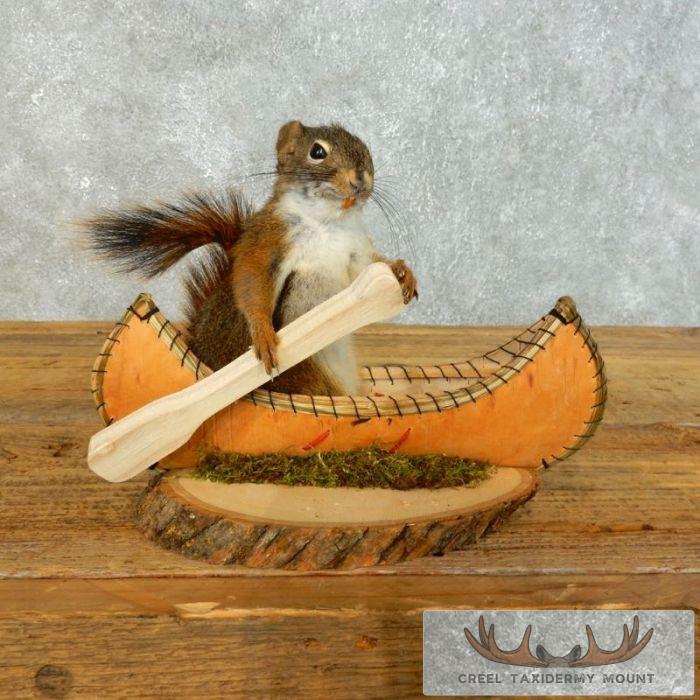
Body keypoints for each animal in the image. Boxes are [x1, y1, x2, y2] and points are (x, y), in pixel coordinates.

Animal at [84, 120, 417, 396]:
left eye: (365, 148)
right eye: (317, 151)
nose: (361, 181)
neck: (329, 221)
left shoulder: (355, 250)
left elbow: (369, 267)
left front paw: (401, 271)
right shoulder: (268, 242)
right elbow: (252, 281)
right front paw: (263, 333)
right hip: (308, 369)